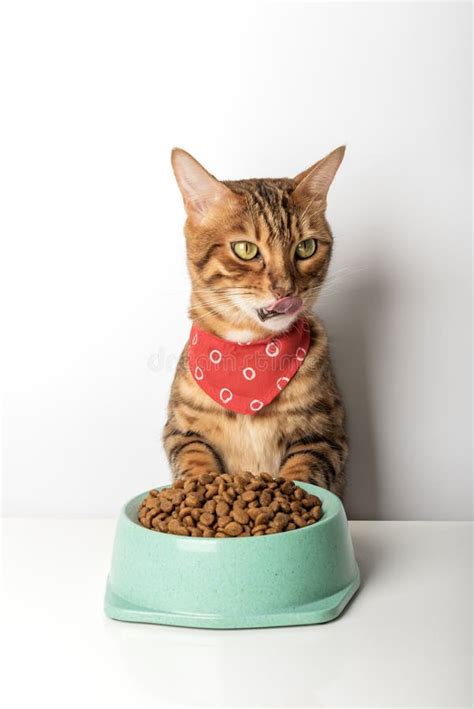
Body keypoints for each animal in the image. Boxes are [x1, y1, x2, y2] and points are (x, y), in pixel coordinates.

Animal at [163, 146, 348, 496]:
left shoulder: (327, 435)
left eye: (306, 247)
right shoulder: (181, 430)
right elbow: (194, 458)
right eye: (245, 249)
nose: (285, 289)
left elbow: (304, 470)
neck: (249, 355)